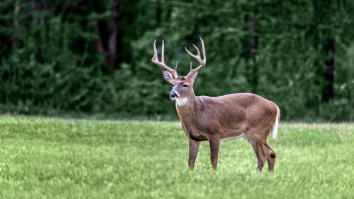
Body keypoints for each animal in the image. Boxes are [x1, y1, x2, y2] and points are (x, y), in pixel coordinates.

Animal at [151, 38, 280, 172]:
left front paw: (214, 174)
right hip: (259, 134)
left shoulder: (215, 132)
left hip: (256, 131)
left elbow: (214, 160)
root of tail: (274, 105)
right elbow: (191, 162)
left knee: (262, 157)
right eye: (173, 84)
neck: (197, 114)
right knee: (271, 153)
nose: (173, 94)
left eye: (185, 85)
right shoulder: (192, 138)